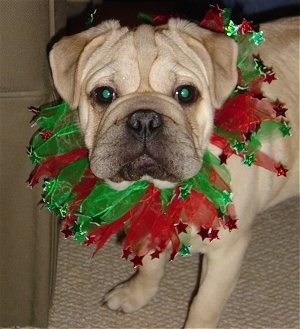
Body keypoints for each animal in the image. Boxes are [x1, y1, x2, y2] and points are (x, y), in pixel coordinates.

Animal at [48, 16, 298, 328]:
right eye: (104, 94)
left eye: (186, 94)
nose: (144, 119)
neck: (159, 186)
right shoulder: (147, 222)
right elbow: (149, 266)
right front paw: (136, 294)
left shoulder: (226, 252)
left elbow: (204, 305)